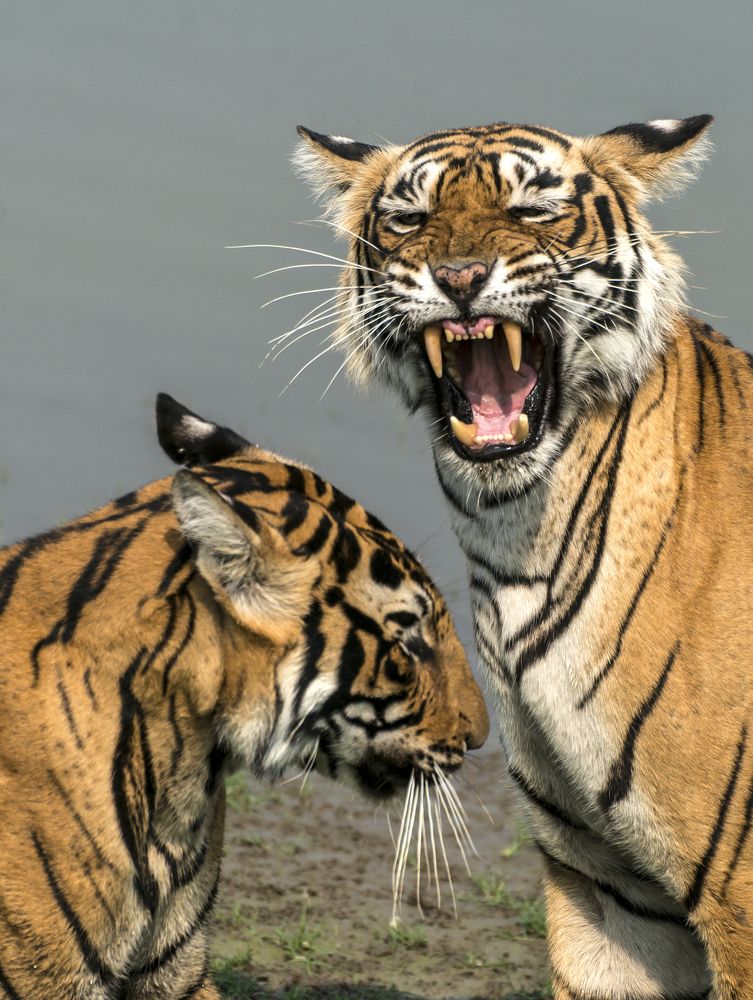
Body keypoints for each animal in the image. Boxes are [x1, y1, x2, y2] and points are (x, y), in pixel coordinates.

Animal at [292, 115, 753, 998]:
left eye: (533, 207)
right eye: (408, 218)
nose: (458, 277)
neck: (516, 540)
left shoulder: (738, 899)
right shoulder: (607, 884)